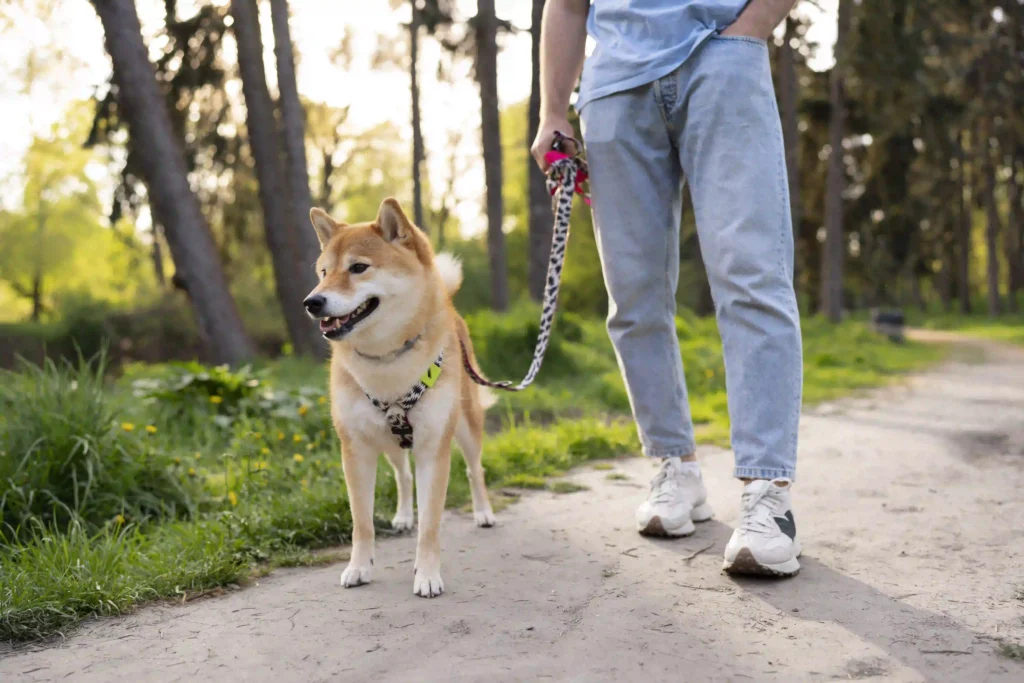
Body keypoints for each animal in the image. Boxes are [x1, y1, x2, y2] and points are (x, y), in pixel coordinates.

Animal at [303, 197, 495, 598]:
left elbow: (431, 526)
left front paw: (427, 574)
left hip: (466, 427)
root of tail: (450, 305)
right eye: (324, 272)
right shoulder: (356, 450)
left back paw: (483, 512)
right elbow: (361, 522)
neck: (386, 361)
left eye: (358, 268)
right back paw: (405, 516)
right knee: (402, 477)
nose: (311, 302)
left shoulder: (433, 449)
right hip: (388, 443)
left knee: (475, 470)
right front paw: (359, 567)